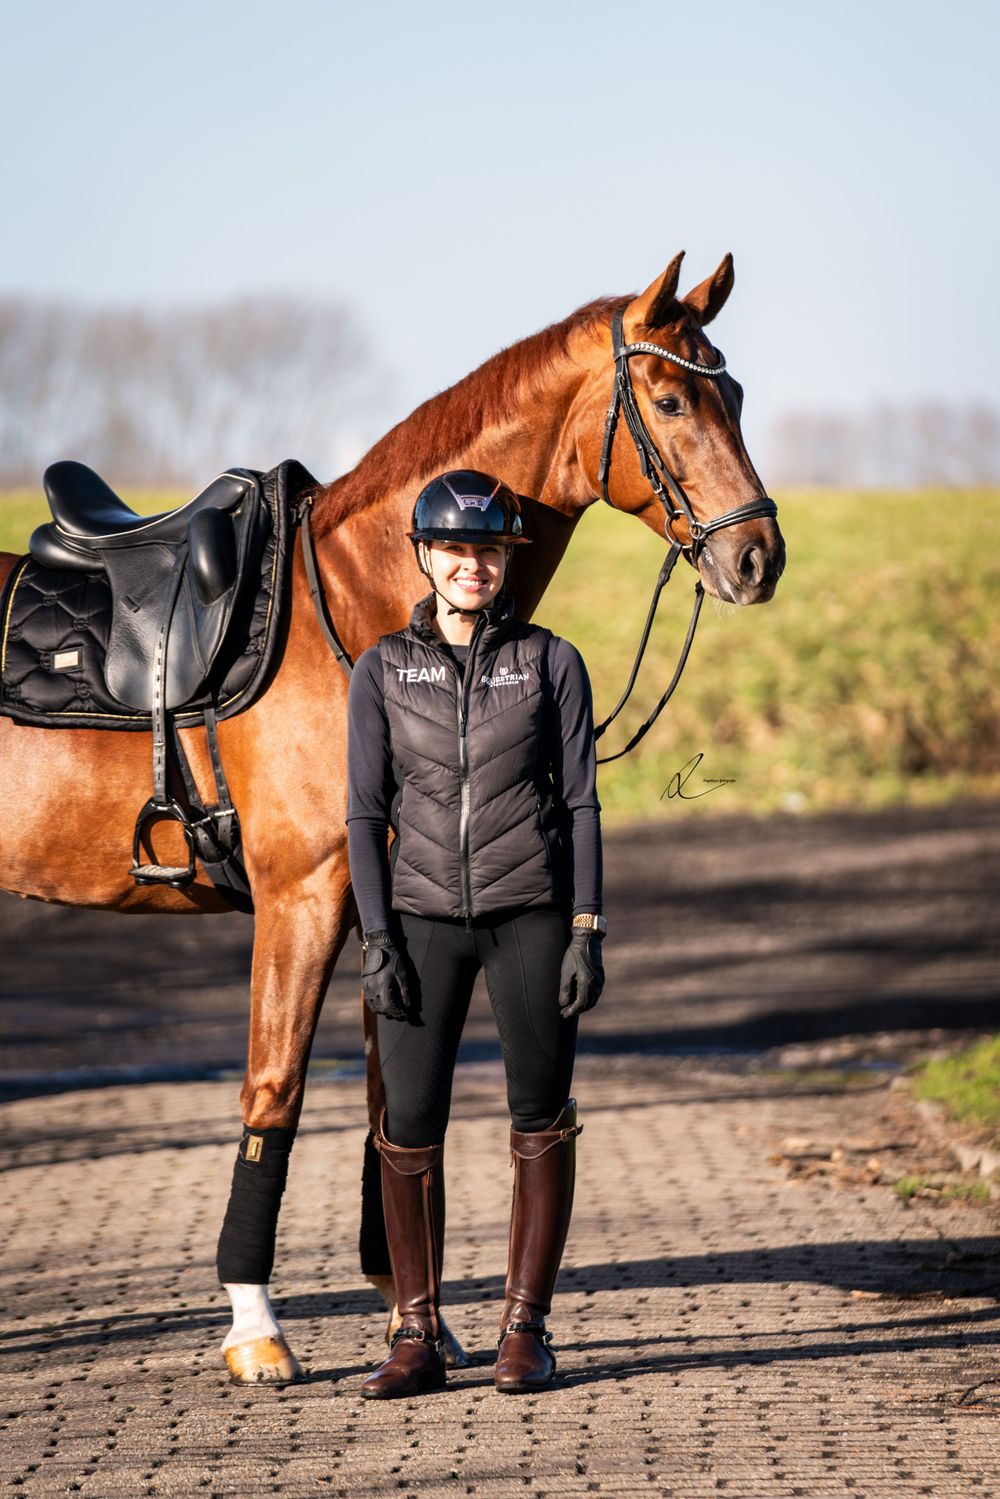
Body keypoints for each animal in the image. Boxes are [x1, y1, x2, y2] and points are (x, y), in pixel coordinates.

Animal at [0, 252, 785, 1384]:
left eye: (737, 395)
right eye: (674, 400)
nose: (759, 557)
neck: (361, 605)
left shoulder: (393, 921)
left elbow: (391, 1105)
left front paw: (414, 1320)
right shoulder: (306, 896)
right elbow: (274, 1090)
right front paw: (255, 1328)